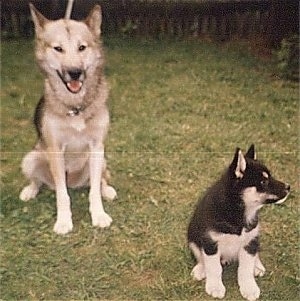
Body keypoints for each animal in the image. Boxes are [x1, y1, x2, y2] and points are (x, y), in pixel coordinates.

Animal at [189, 144, 290, 298]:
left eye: (270, 176)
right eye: (263, 181)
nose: (288, 187)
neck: (237, 212)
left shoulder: (249, 241)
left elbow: (245, 269)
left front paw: (249, 288)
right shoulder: (210, 242)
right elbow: (214, 267)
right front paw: (215, 287)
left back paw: (257, 265)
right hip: (192, 236)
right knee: (200, 255)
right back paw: (201, 268)